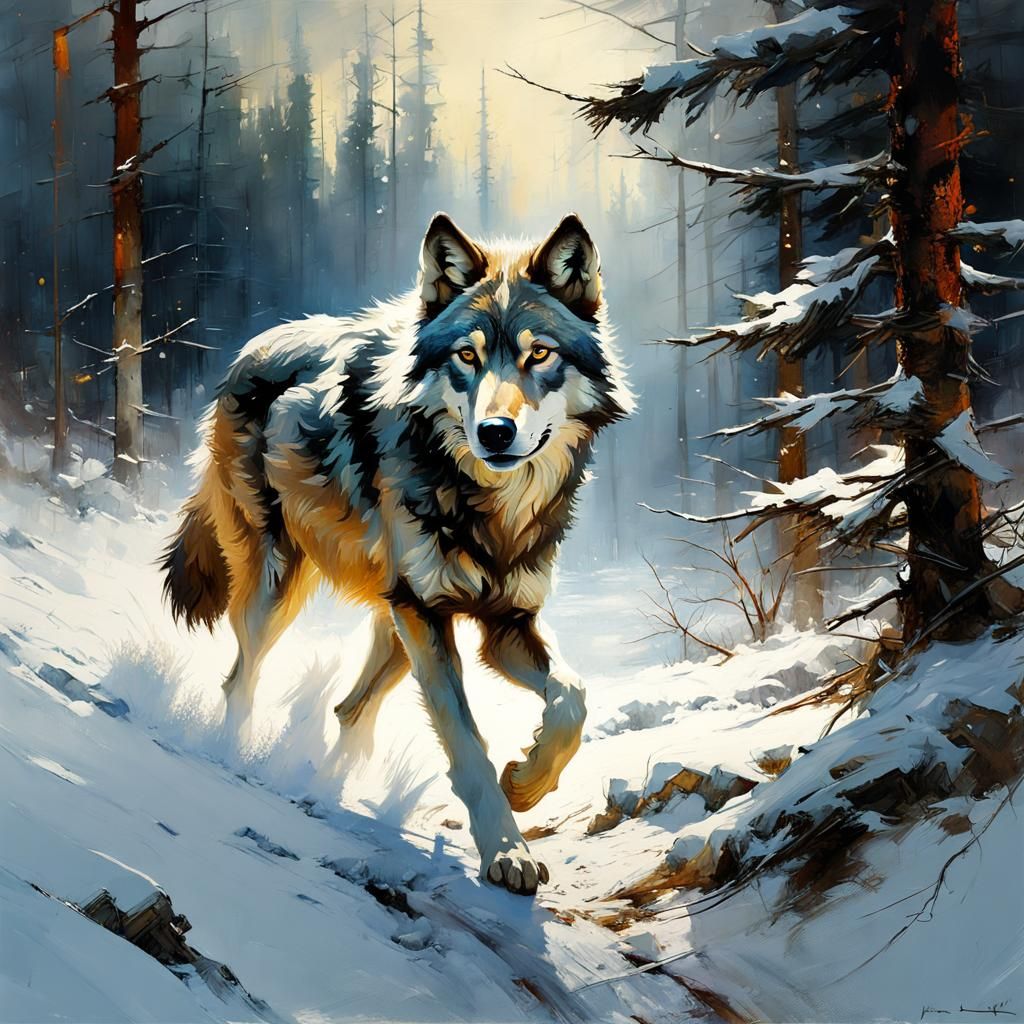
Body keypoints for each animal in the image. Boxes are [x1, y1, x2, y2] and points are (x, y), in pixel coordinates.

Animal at [162, 212, 632, 894]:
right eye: (467, 356)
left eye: (539, 353)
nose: (495, 433)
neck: (489, 510)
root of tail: (252, 348)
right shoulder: (429, 614)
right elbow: (467, 743)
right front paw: (507, 852)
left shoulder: (505, 623)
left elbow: (573, 697)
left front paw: (526, 781)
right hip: (282, 591)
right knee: (238, 682)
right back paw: (236, 762)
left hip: (392, 628)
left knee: (348, 709)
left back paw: (328, 790)